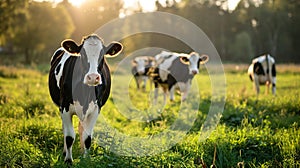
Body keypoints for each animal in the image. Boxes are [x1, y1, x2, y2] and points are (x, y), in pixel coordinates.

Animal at [47, 34, 122, 163]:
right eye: (82, 54)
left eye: (102, 55)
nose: (92, 77)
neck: (85, 93)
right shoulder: (64, 106)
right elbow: (69, 136)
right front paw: (68, 160)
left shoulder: (96, 109)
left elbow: (87, 137)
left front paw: (85, 159)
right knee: (65, 129)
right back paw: (64, 152)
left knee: (81, 129)